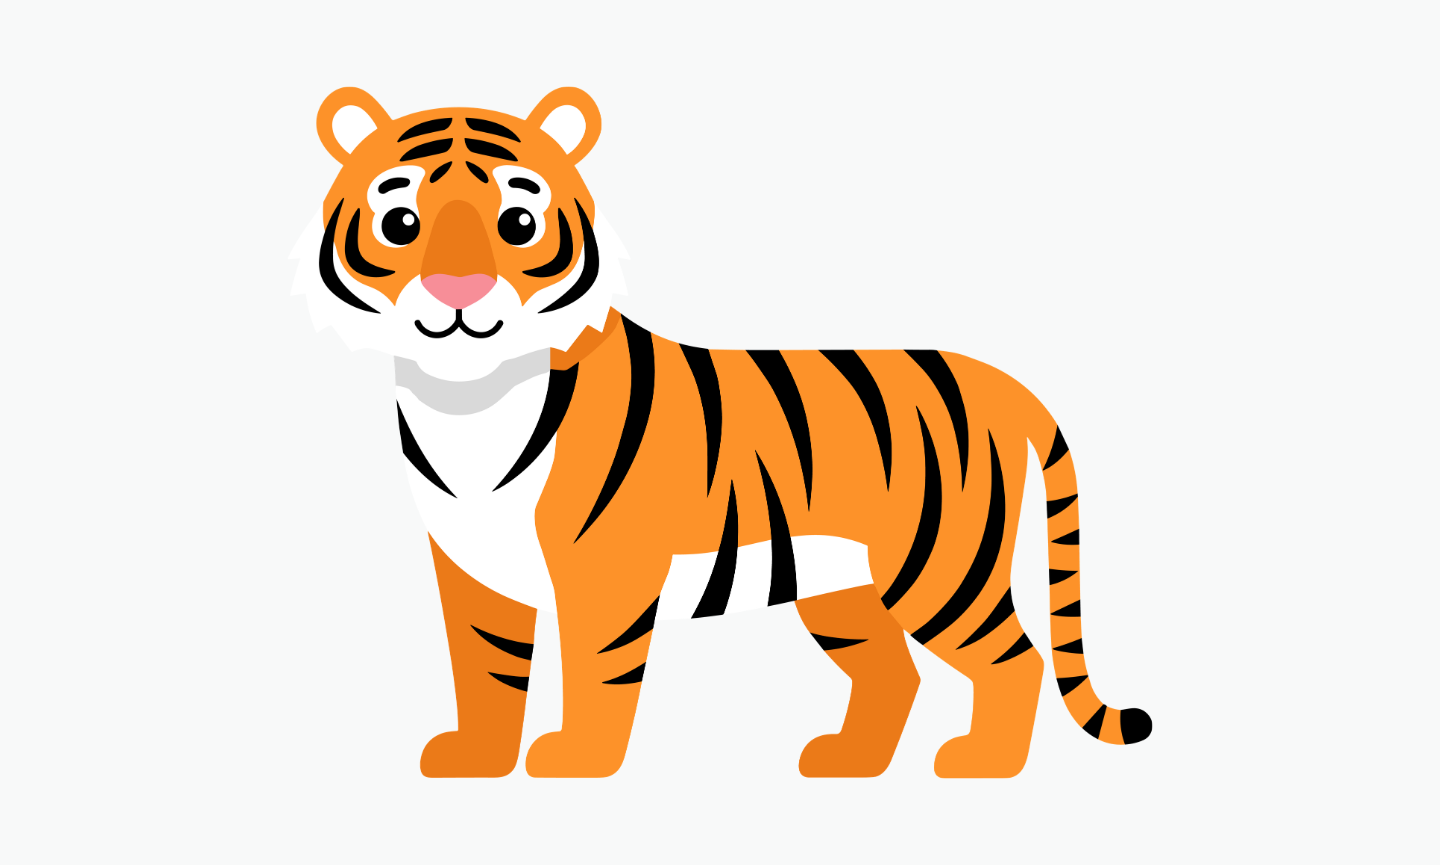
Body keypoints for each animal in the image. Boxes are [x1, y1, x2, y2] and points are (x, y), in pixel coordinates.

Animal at [295, 85, 1152, 778]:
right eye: (400, 221)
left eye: (519, 221)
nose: (459, 289)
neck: (464, 400)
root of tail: (999, 380)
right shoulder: (472, 568)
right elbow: (486, 672)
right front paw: (476, 758)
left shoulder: (605, 570)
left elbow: (594, 673)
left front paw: (577, 760)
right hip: (843, 584)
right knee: (893, 671)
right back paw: (849, 760)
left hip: (938, 566)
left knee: (1014, 658)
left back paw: (983, 763)